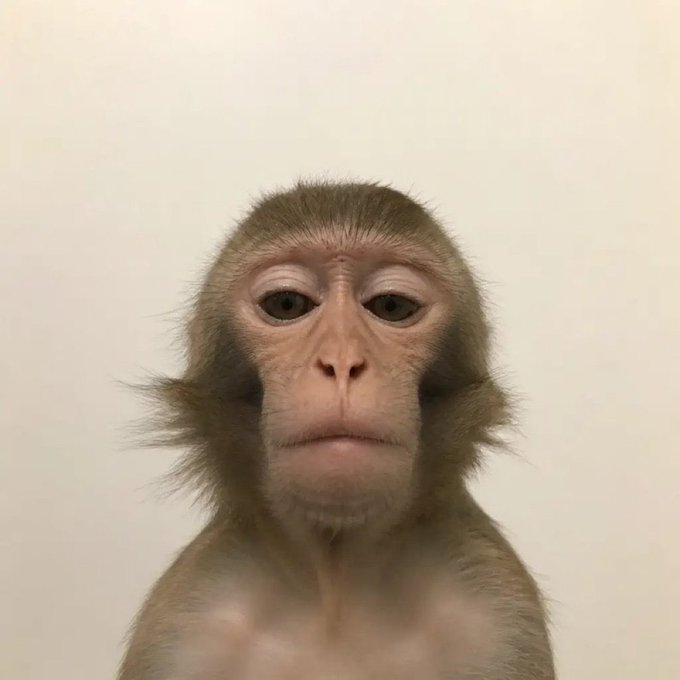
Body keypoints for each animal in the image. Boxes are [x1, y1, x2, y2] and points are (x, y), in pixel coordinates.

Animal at [117, 181, 555, 679]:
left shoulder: (498, 612)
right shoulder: (183, 622)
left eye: (391, 306)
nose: (342, 362)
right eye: (287, 304)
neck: (336, 583)